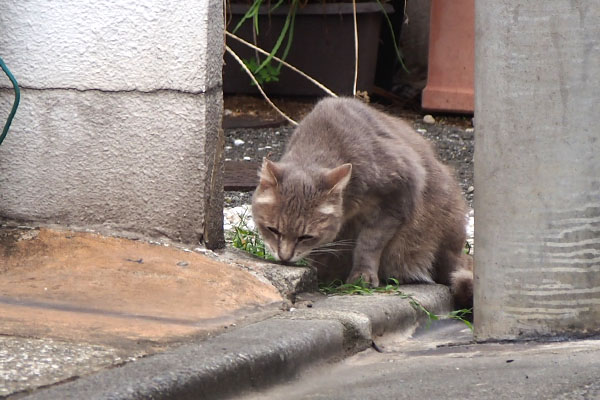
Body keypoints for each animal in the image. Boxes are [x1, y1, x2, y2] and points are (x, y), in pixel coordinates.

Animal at [250, 97, 474, 310]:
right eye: (272, 229)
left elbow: (369, 242)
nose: (284, 257)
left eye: (306, 237)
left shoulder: (397, 197)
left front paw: (362, 275)